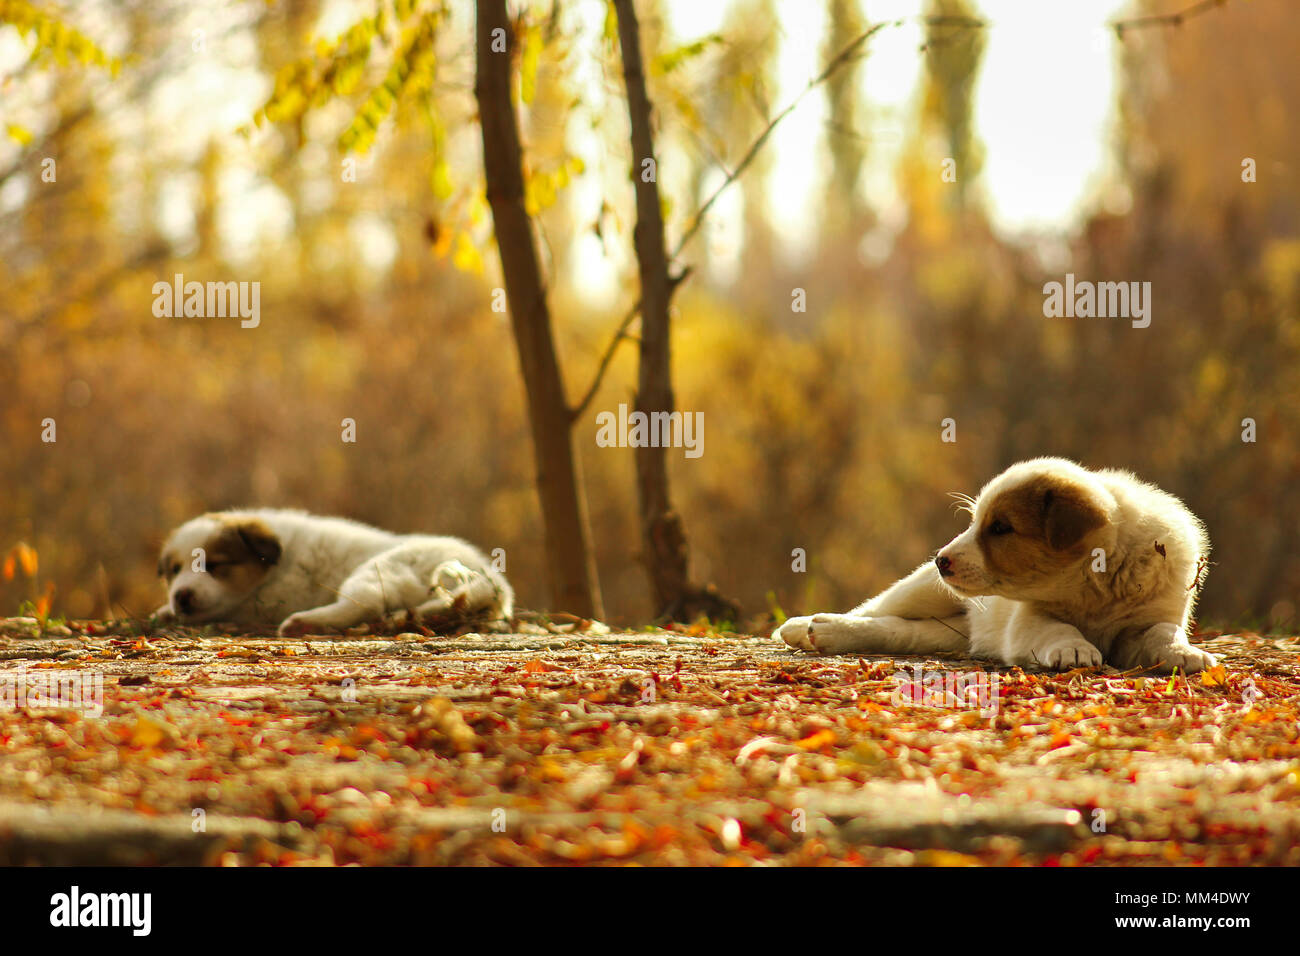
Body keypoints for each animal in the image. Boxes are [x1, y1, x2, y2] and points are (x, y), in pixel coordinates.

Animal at [153, 512, 512, 639]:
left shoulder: (256, 603)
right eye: (174, 570)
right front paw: (165, 611)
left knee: (365, 603)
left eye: (214, 566)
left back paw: (304, 623)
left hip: (381, 568)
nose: (181, 596)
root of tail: (493, 581)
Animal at [769, 457, 1216, 671]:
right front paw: (1073, 649)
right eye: (976, 521)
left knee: (900, 632)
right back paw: (808, 627)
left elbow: (1163, 632)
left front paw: (1185, 653)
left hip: (949, 630)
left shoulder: (1151, 617)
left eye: (1001, 527)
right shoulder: (1028, 621)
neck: (1096, 585)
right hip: (919, 592)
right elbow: (1058, 628)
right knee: (872, 611)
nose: (941, 560)